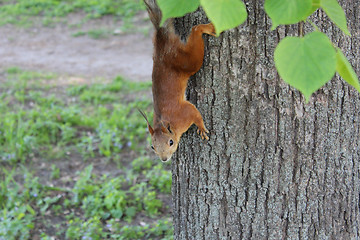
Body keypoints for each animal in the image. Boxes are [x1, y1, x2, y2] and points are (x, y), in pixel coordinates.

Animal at [140, 0, 214, 162]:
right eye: (152, 147)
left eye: (171, 142)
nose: (164, 159)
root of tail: (162, 42)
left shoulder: (184, 114)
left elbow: (195, 113)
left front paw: (201, 127)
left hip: (187, 61)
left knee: (195, 30)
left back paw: (206, 27)